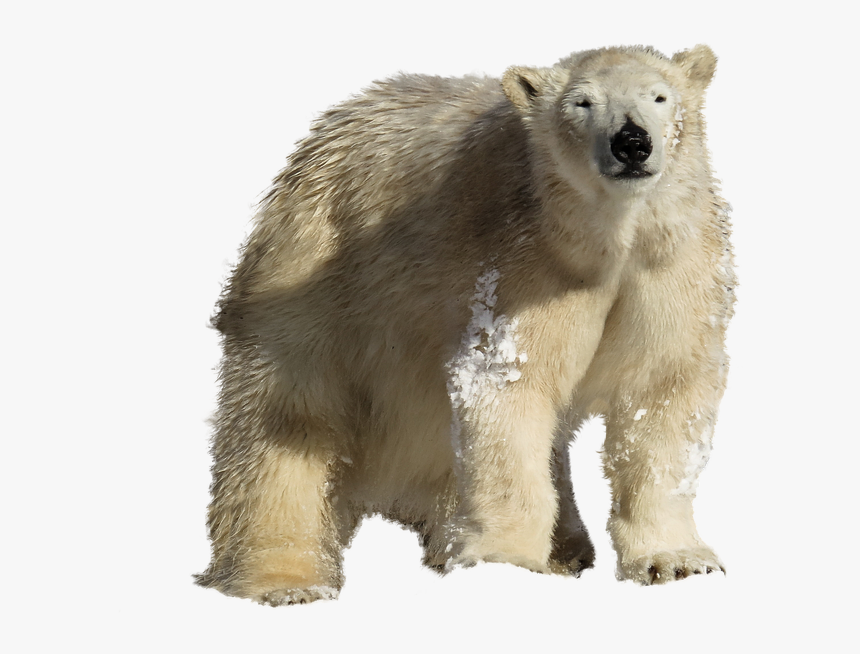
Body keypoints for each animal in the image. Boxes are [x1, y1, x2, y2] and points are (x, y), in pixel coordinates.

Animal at [196, 44, 735, 605]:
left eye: (660, 96)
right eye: (582, 102)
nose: (632, 142)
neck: (607, 237)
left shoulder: (673, 270)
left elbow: (662, 393)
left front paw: (676, 561)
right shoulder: (523, 263)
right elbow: (509, 387)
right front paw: (508, 565)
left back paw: (561, 549)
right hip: (320, 269)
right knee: (286, 417)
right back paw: (284, 579)